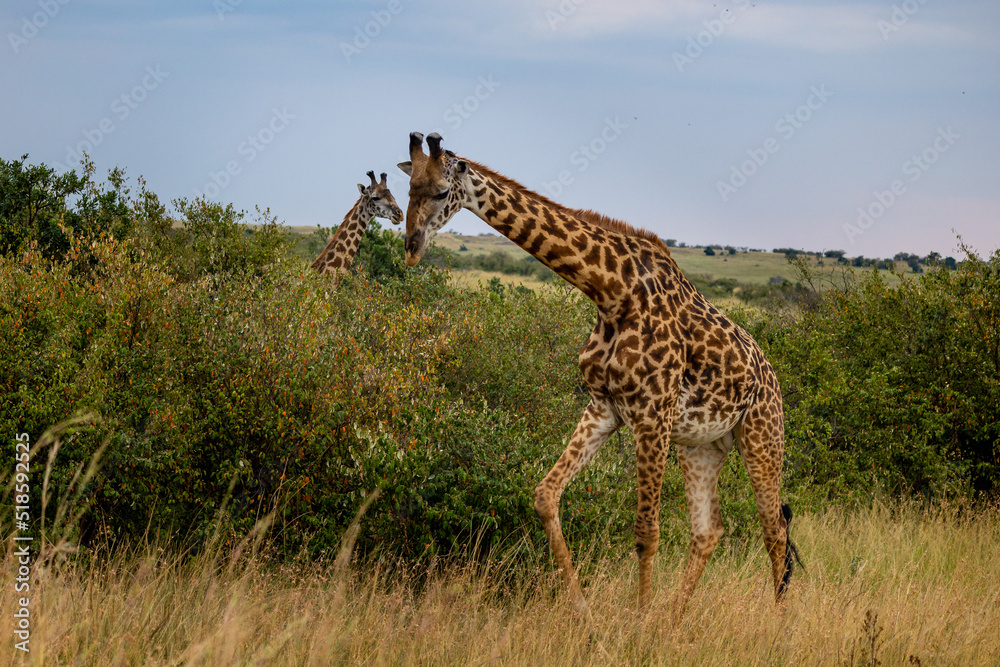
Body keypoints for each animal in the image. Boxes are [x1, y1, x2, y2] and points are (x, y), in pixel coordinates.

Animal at [398, 132, 796, 620]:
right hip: (701, 446)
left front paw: (638, 623)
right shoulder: (604, 407)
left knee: (774, 528)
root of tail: (772, 377)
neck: (610, 292)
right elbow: (545, 495)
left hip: (762, 438)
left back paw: (776, 623)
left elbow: (647, 531)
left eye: (440, 192)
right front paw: (584, 612)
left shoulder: (651, 416)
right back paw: (673, 620)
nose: (411, 248)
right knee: (709, 530)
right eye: (408, 189)